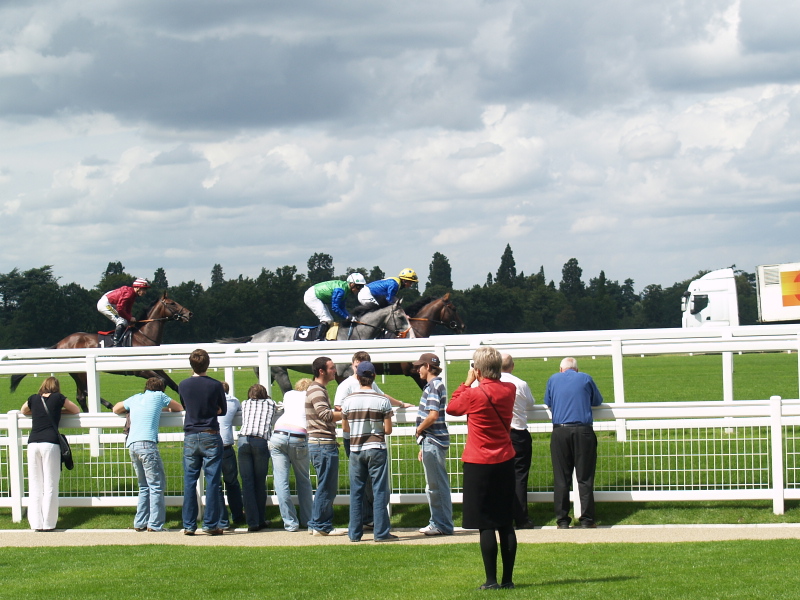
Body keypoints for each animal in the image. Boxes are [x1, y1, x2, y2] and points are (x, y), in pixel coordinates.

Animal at [10, 292, 193, 412]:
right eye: (172, 303)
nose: (189, 313)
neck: (142, 337)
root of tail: (61, 342)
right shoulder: (140, 370)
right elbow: (162, 382)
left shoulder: (156, 366)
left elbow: (173, 384)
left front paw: (185, 405)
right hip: (80, 372)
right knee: (84, 392)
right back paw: (106, 407)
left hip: (78, 373)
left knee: (81, 395)